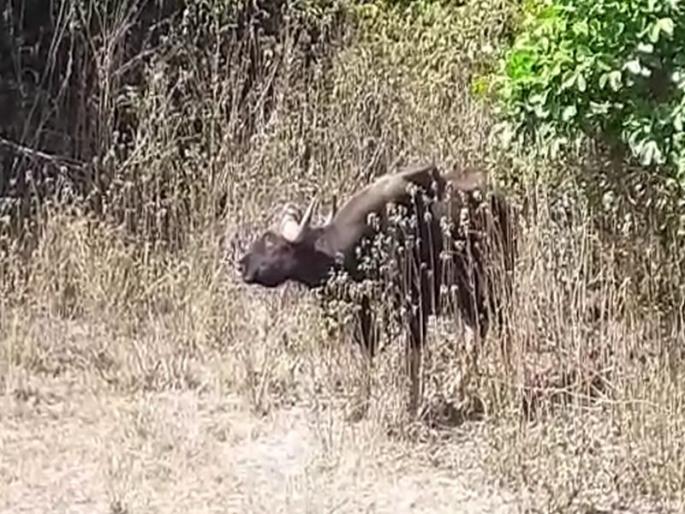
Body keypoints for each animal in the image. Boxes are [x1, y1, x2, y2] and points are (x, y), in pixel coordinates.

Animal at [237, 162, 517, 418]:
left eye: (272, 243)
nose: (241, 264)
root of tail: (500, 203)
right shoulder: (366, 315)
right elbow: (368, 354)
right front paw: (361, 404)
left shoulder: (415, 311)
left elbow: (411, 360)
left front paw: (410, 408)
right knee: (477, 333)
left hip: (492, 291)